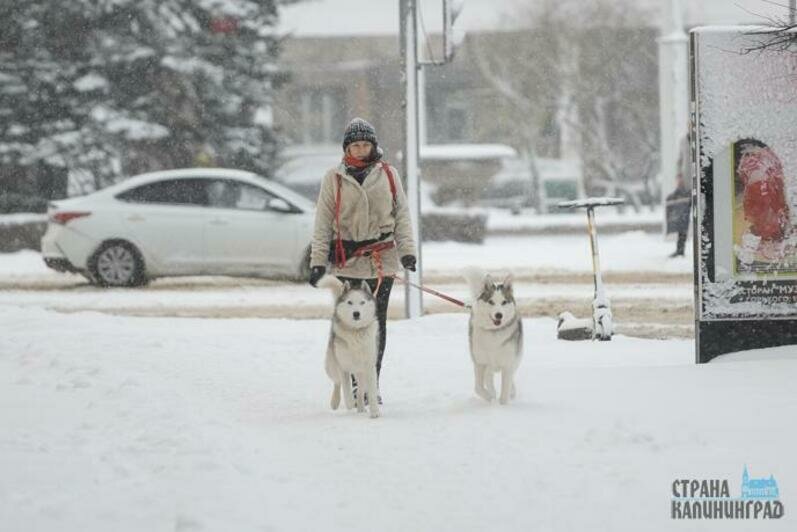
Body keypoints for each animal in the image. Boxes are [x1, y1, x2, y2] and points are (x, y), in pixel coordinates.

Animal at [316, 276, 380, 418]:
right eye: (350, 302)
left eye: (362, 302)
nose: (356, 313)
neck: (355, 332)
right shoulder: (343, 366)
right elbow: (346, 388)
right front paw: (350, 403)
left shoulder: (369, 366)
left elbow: (371, 391)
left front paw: (374, 411)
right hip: (331, 364)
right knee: (337, 382)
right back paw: (335, 402)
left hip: (360, 372)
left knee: (360, 390)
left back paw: (361, 408)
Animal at [460, 268, 524, 406]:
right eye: (491, 302)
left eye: (504, 302)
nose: (499, 315)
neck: (493, 332)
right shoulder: (480, 362)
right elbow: (478, 387)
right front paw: (491, 400)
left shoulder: (507, 363)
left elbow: (505, 388)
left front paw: (502, 404)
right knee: (488, 377)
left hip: (516, 358)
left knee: (510, 377)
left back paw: (512, 392)